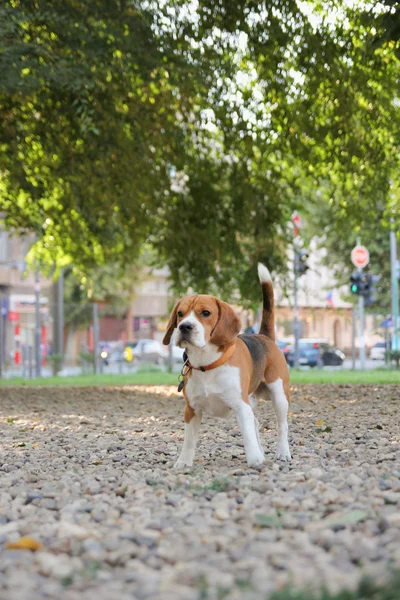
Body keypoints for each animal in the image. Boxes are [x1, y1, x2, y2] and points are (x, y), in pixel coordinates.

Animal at [162, 264, 290, 468]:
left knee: (282, 425)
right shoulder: (191, 409)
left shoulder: (241, 406)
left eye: (205, 313)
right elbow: (189, 440)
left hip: (279, 395)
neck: (207, 363)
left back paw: (283, 452)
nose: (184, 327)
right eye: (180, 314)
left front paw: (254, 459)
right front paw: (183, 462)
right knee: (256, 423)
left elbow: (248, 435)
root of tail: (264, 336)